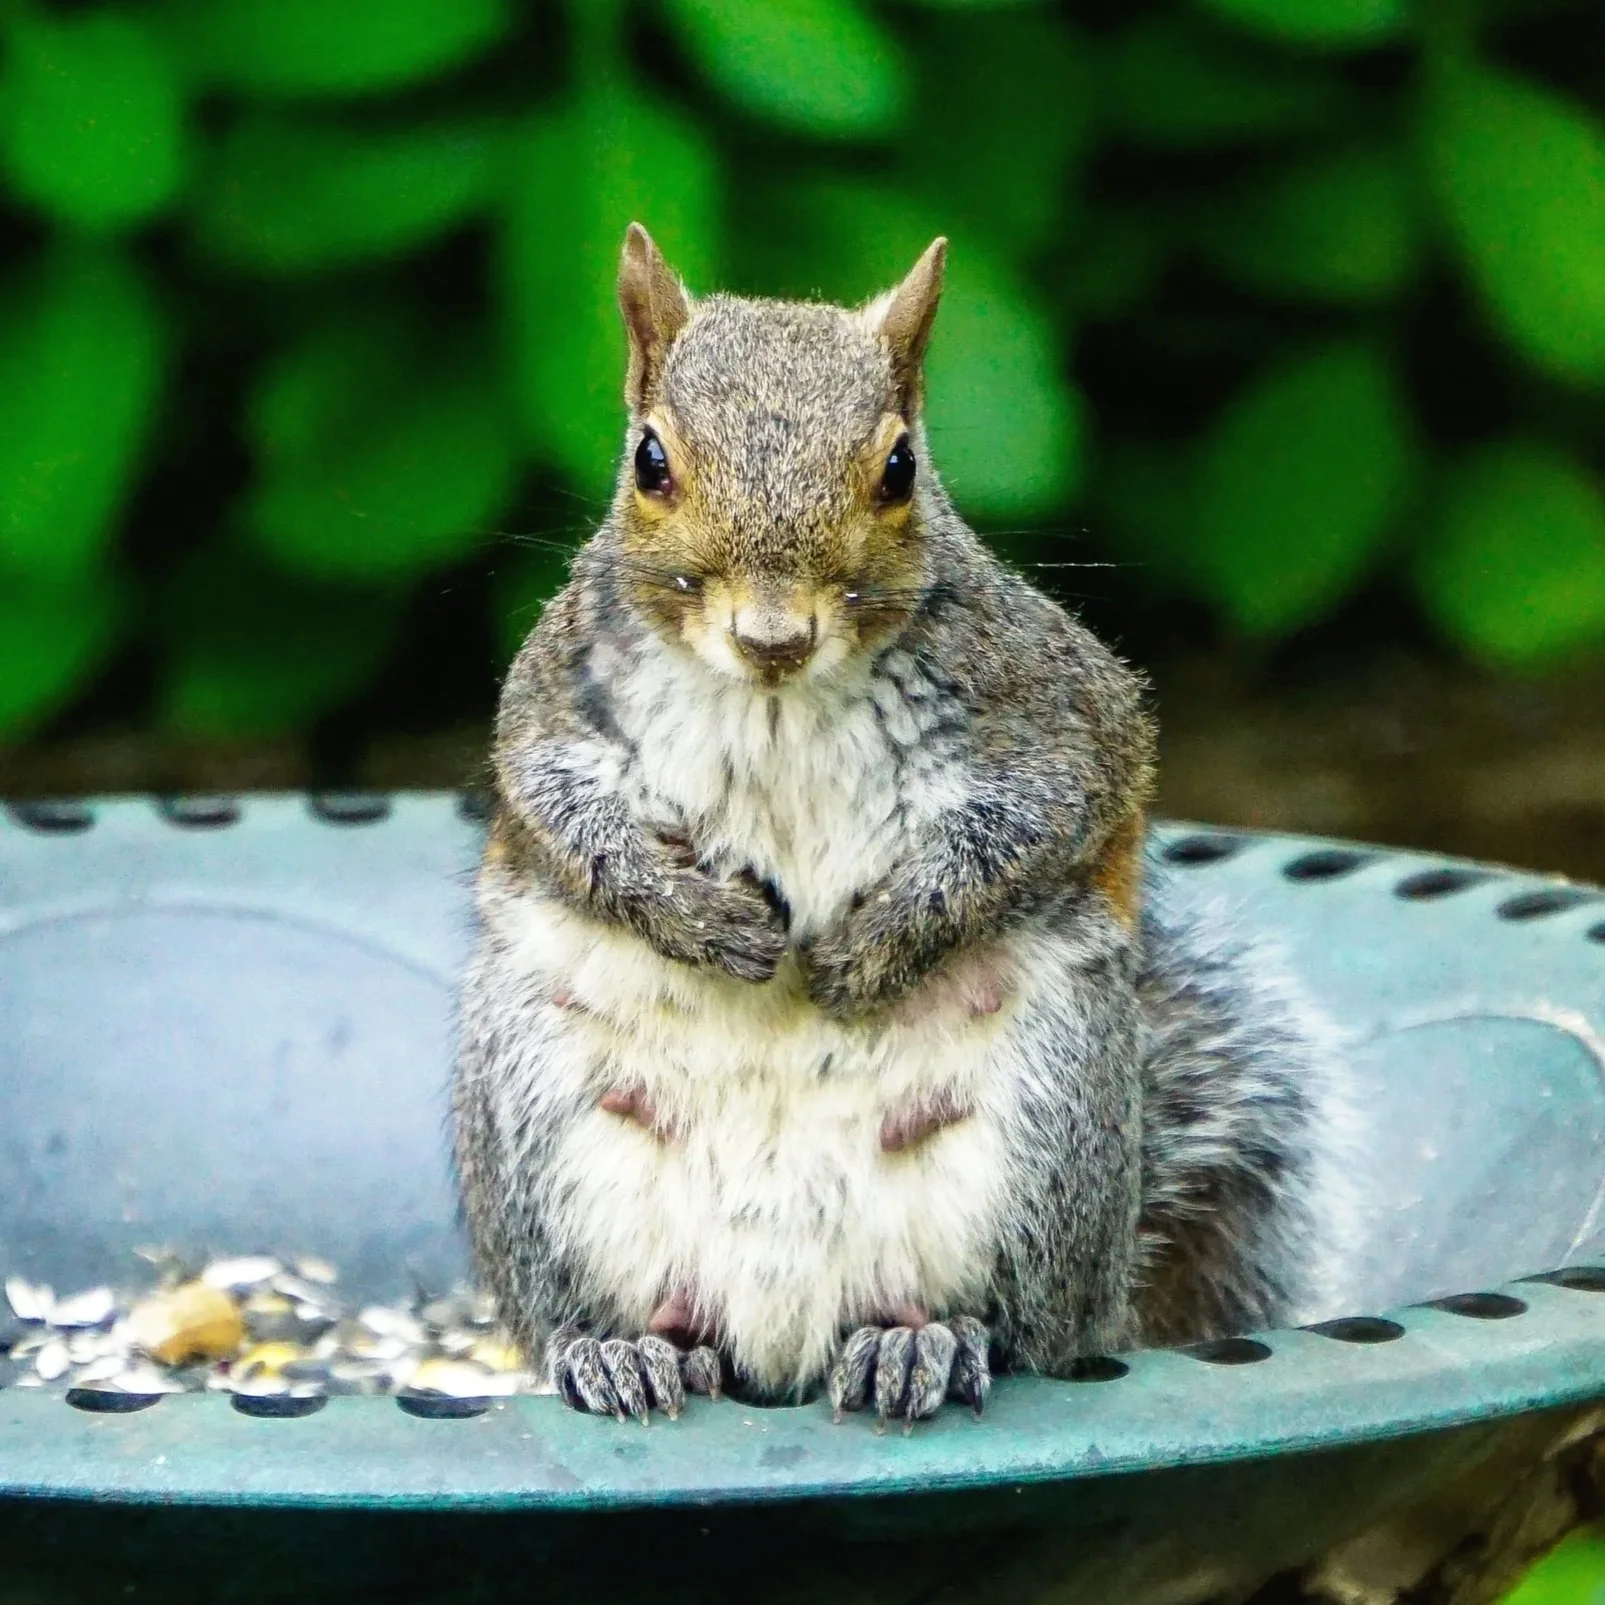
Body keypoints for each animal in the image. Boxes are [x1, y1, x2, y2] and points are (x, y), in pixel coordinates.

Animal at [452, 223, 1359, 1428]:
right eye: (650, 461)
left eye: (899, 469)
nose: (773, 634)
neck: (778, 701)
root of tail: (780, 1344)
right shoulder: (554, 705)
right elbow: (567, 821)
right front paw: (699, 917)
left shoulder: (1058, 715)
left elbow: (1043, 817)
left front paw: (869, 948)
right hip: (541, 1127)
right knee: (605, 1315)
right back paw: (623, 1351)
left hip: (1045, 1124)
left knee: (1012, 1328)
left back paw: (918, 1343)